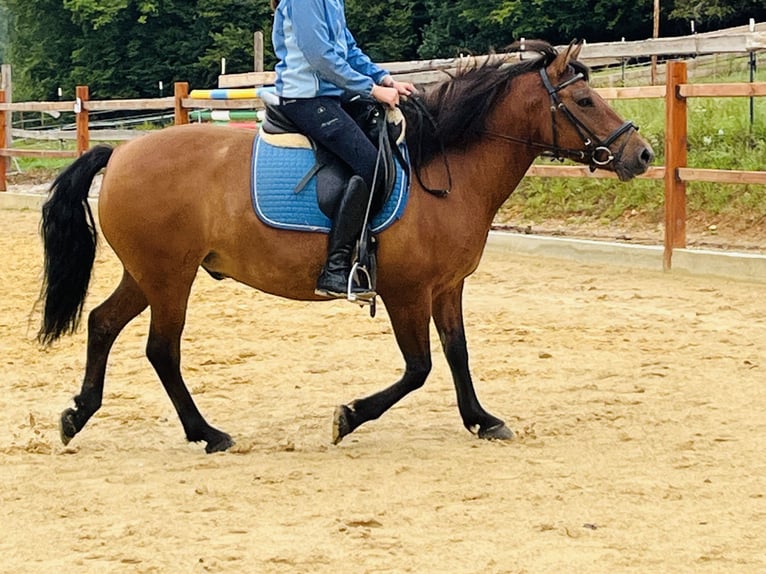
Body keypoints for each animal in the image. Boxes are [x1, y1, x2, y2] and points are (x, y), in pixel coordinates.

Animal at [39, 40, 656, 454]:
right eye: (584, 99)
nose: (643, 154)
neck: (445, 168)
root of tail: (120, 152)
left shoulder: (446, 287)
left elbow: (457, 355)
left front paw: (482, 419)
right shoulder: (407, 292)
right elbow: (419, 368)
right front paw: (350, 415)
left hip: (150, 274)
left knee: (102, 323)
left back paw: (76, 415)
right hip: (171, 277)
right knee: (161, 350)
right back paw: (207, 433)